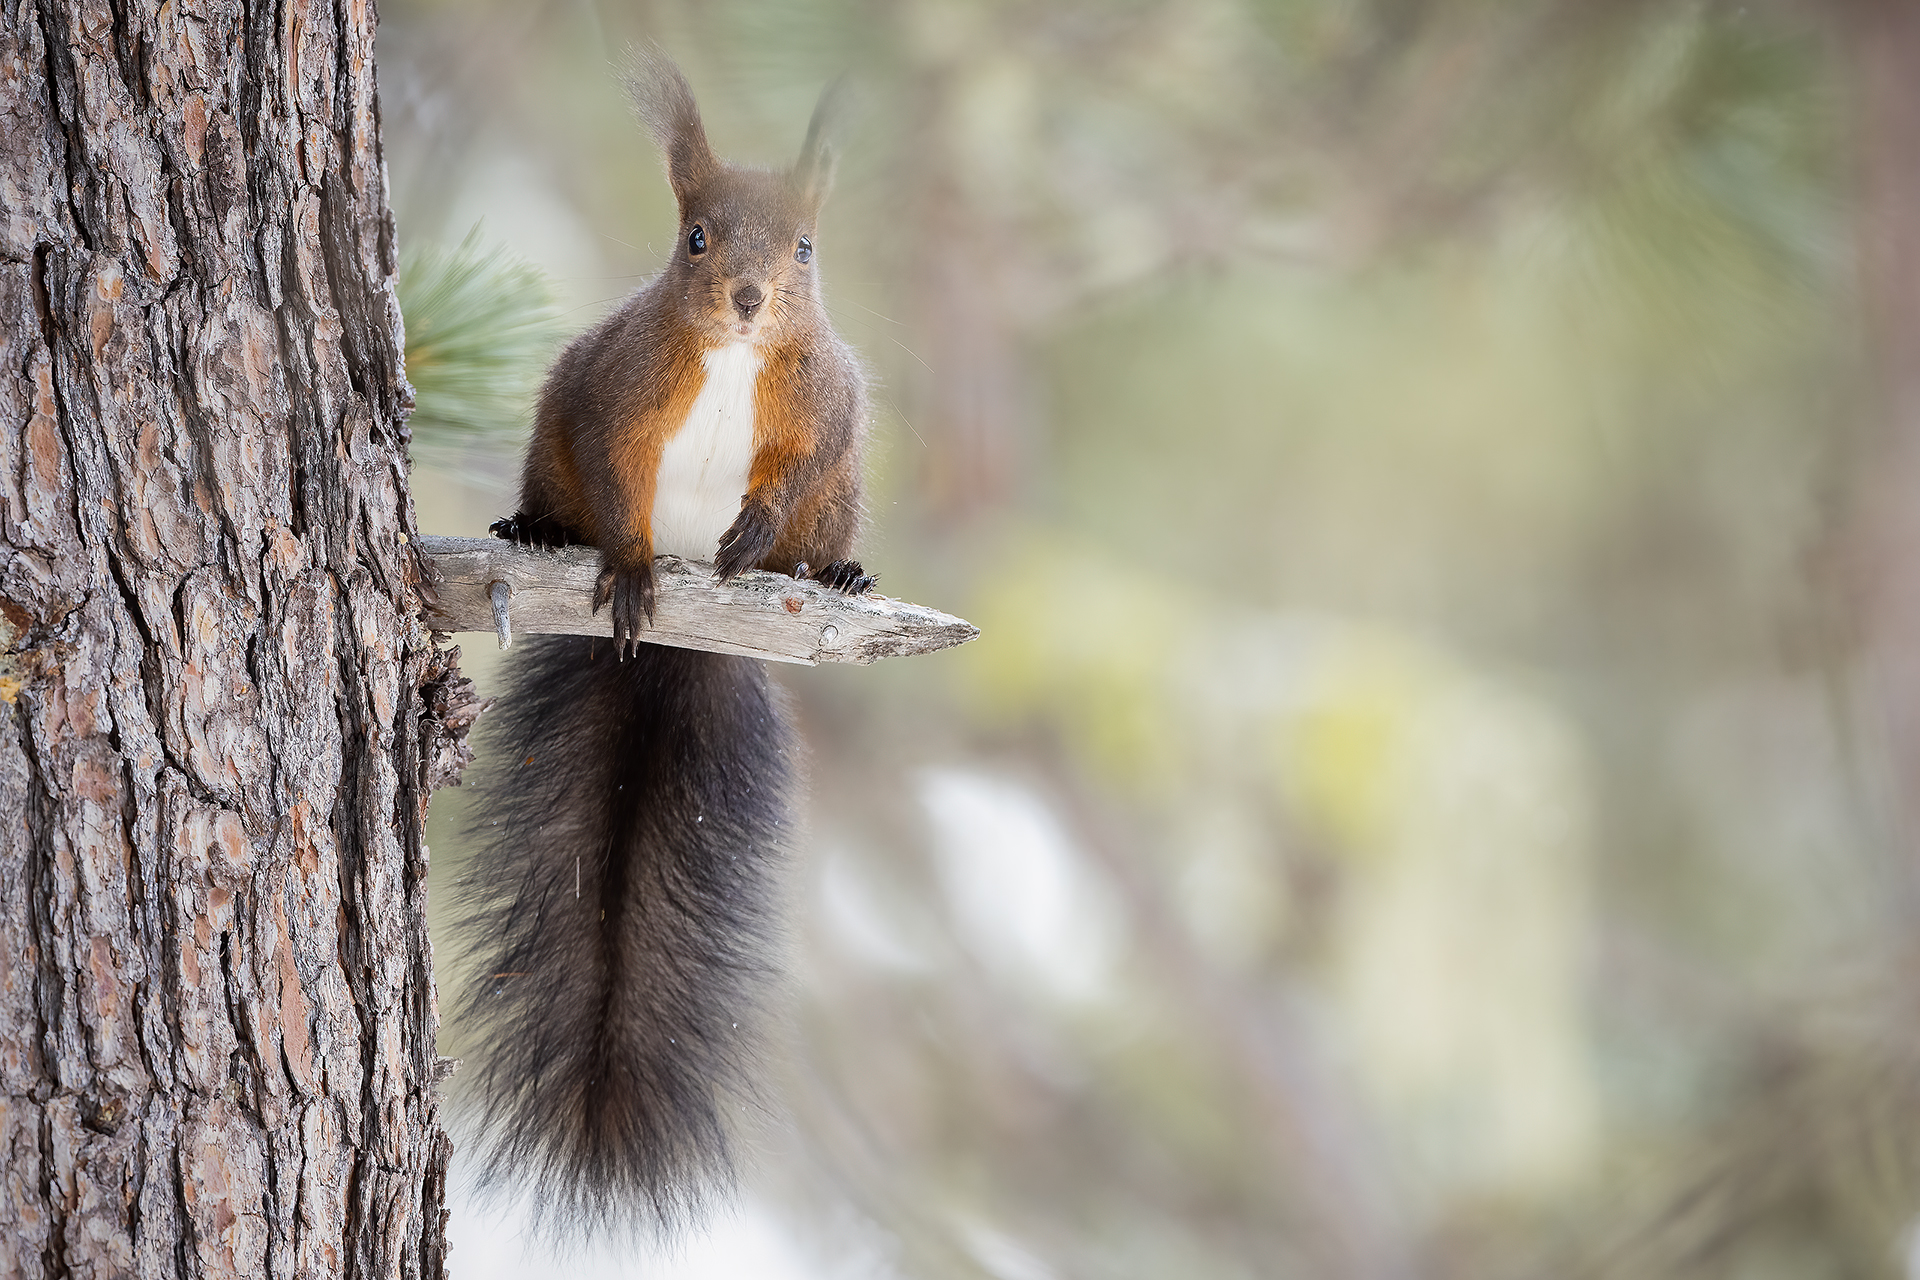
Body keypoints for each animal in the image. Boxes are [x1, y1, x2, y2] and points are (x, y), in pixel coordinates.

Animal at [453, 54, 872, 1234]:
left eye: (806, 247)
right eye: (695, 236)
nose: (747, 297)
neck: (731, 358)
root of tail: (687, 647)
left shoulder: (825, 408)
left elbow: (797, 464)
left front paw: (758, 537)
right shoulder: (612, 392)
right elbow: (612, 472)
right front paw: (633, 564)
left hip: (843, 500)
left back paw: (831, 576)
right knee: (563, 494)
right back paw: (540, 533)